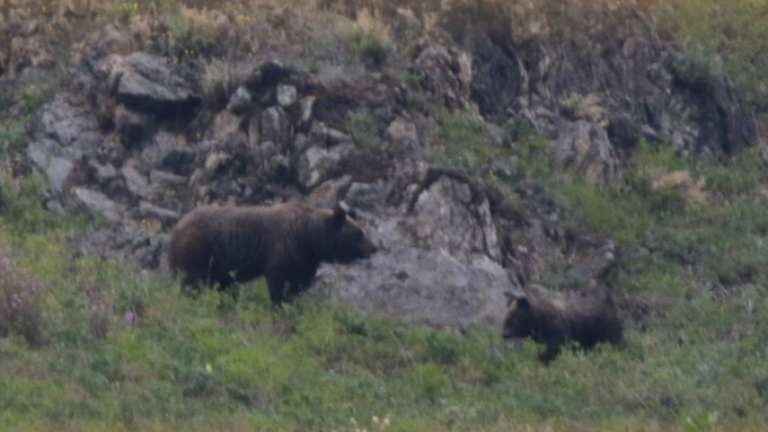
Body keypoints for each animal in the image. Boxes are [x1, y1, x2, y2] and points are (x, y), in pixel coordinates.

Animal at [171, 202, 380, 304]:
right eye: (359, 232)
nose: (374, 247)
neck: (309, 237)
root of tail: (177, 225)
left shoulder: (306, 260)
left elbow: (300, 282)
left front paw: (293, 300)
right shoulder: (282, 247)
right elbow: (277, 277)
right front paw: (278, 302)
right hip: (198, 250)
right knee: (192, 279)